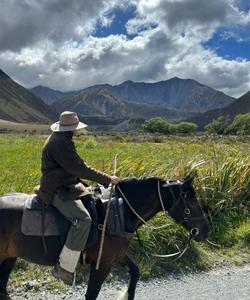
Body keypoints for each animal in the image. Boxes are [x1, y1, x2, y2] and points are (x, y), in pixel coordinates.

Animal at [0, 176, 209, 300]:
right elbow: (91, 294)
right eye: (191, 200)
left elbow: (135, 272)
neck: (119, 212)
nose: (204, 231)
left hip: (10, 257)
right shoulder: (103, 263)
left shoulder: (117, 257)